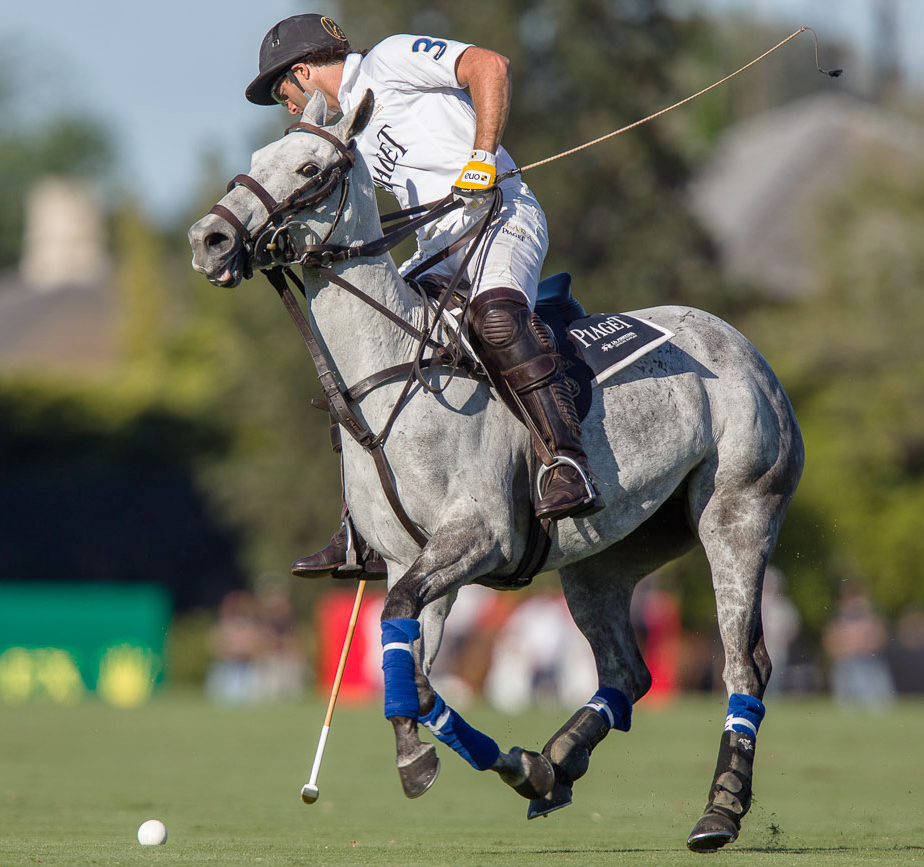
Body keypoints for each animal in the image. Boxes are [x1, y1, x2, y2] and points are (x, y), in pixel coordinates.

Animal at [188, 90, 804, 852]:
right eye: (257, 158)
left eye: (310, 168)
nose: (208, 239)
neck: (387, 377)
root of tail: (744, 346)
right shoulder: (411, 559)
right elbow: (411, 668)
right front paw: (507, 765)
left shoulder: (479, 536)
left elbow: (401, 633)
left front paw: (419, 761)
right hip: (608, 555)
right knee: (627, 670)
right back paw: (556, 763)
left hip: (738, 512)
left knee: (745, 660)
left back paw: (719, 811)